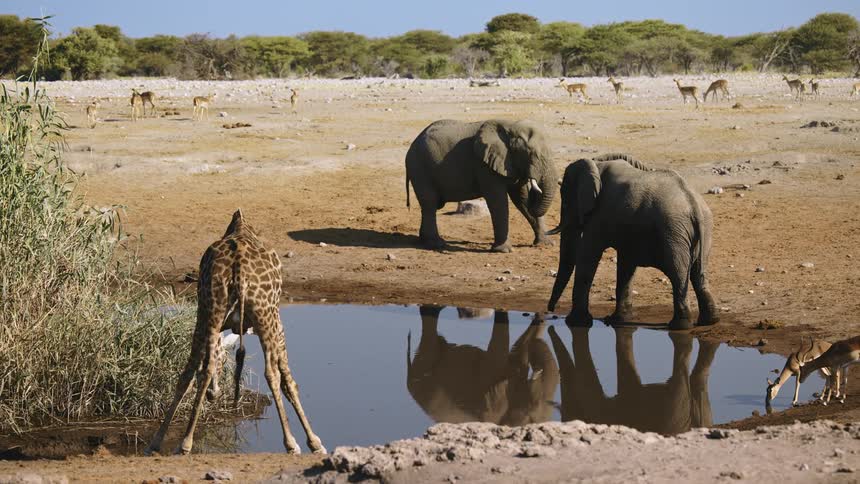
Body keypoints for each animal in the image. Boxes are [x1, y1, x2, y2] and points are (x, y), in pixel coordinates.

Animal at [145, 209, 325, 455]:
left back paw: (181, 443)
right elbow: (288, 380)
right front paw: (313, 442)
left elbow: (196, 370)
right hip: (264, 316)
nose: (213, 395)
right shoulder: (278, 326)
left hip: (210, 311)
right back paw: (289, 442)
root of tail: (238, 270)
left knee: (196, 370)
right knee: (271, 373)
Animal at [405, 119, 558, 252]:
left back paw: (425, 241)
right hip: (419, 168)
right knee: (429, 204)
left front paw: (546, 244)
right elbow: (498, 201)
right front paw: (503, 251)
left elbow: (521, 199)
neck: (510, 126)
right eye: (533, 155)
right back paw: (436, 244)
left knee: (428, 206)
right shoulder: (484, 166)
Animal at [547, 154, 719, 330]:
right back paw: (709, 321)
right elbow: (626, 265)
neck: (597, 163)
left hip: (674, 232)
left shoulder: (599, 215)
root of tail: (694, 204)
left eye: (565, 202)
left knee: (678, 273)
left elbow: (588, 255)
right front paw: (618, 320)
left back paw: (680, 326)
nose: (551, 310)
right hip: (702, 230)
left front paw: (576, 323)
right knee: (698, 274)